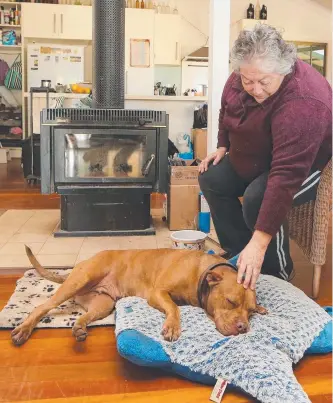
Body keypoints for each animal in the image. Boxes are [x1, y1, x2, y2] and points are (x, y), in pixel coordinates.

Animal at [11, 246, 268, 348]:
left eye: (251, 312)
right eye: (231, 301)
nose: (243, 327)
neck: (201, 274)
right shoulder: (158, 293)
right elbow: (174, 308)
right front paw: (172, 327)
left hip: (103, 304)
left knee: (84, 317)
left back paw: (80, 328)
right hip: (80, 281)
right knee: (42, 307)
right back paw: (23, 329)